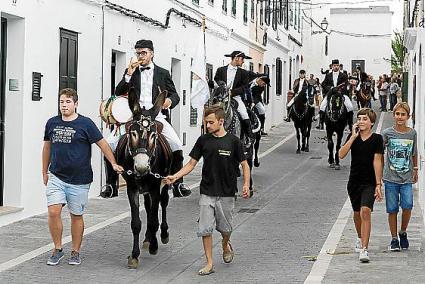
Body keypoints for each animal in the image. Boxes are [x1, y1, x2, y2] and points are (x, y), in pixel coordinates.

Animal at [116, 88, 172, 268]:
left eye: (153, 134)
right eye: (132, 132)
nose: (141, 167)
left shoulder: (155, 187)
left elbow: (154, 219)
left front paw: (154, 246)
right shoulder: (132, 189)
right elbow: (136, 223)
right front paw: (134, 255)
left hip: (165, 182)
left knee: (163, 203)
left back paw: (162, 235)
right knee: (148, 208)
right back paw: (148, 239)